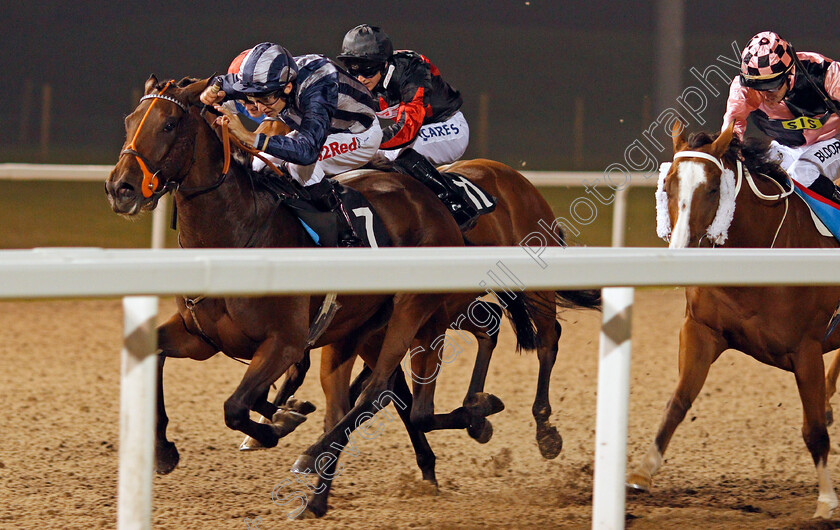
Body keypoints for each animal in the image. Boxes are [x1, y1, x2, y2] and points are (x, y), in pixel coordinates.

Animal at [108, 75, 600, 512]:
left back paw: (538, 429)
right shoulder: (204, 337)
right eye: (129, 120)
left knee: (534, 341)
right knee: (439, 363)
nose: (120, 187)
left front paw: (276, 427)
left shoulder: (285, 342)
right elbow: (157, 354)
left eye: (170, 124)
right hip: (391, 323)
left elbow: (236, 406)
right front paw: (166, 450)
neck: (240, 233)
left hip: (446, 303)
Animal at [628, 118, 840, 516]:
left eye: (713, 189)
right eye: (668, 184)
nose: (680, 252)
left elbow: (814, 430)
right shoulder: (701, 330)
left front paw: (825, 502)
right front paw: (642, 472)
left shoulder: (806, 350)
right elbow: (678, 402)